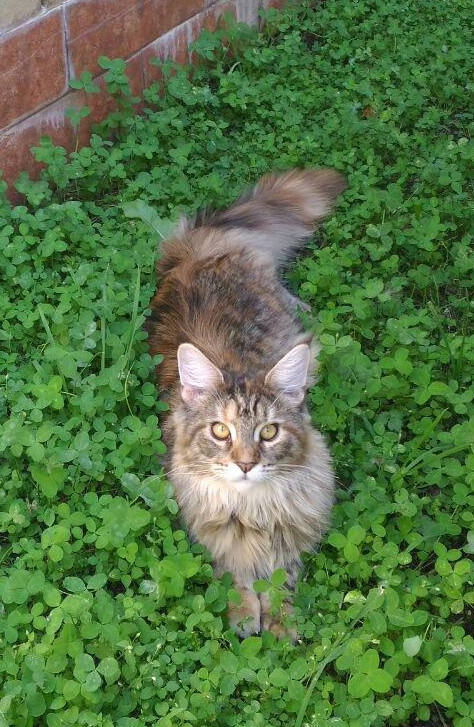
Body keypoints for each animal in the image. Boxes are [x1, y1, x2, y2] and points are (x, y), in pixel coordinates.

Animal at [146, 169, 346, 636]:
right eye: (220, 430)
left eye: (269, 432)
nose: (245, 464)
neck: (251, 506)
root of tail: (193, 252)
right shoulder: (208, 528)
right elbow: (232, 569)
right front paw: (242, 611)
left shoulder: (291, 529)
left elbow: (281, 576)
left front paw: (281, 620)